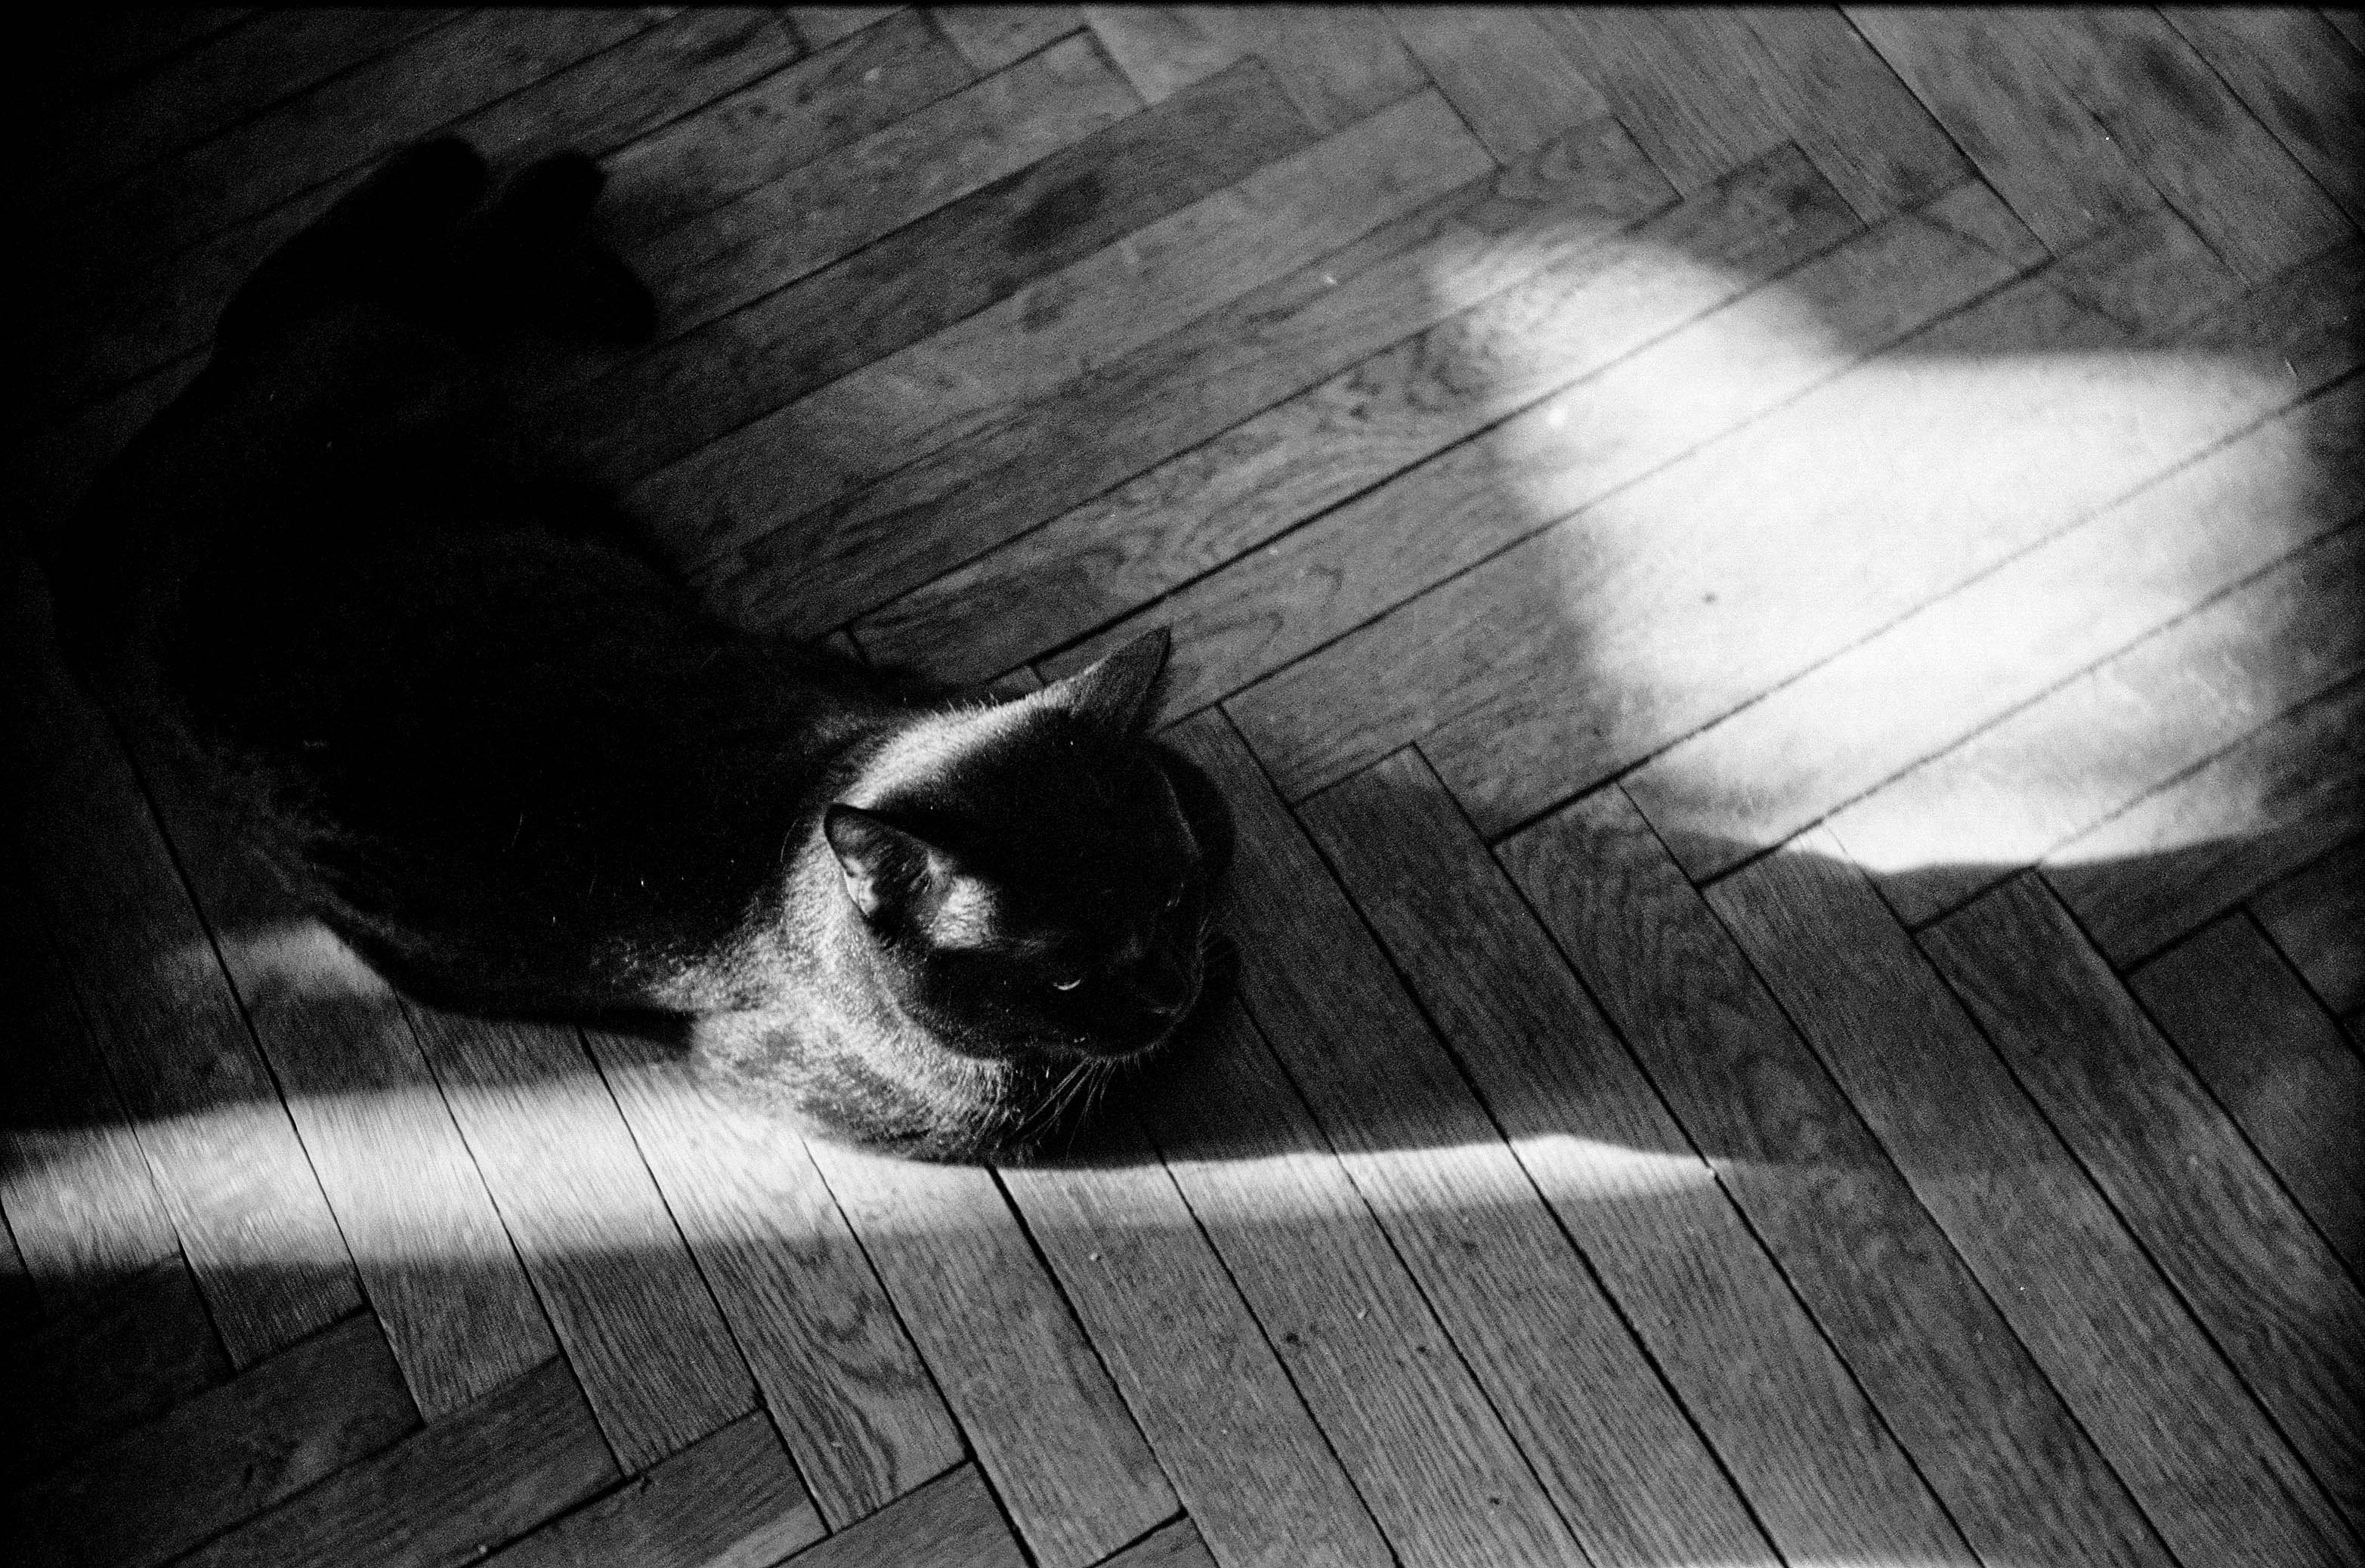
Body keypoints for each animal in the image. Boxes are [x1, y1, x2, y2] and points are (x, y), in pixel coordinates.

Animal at [46, 138, 1229, 1163]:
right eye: (1064, 977)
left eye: (1167, 899)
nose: (1167, 986)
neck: (805, 811)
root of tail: (108, 528)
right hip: (408, 367)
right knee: (385, 274)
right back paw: (530, 197)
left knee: (368, 276)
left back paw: (555, 225)